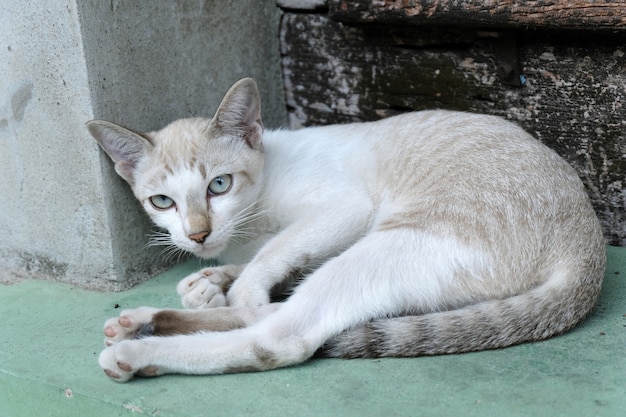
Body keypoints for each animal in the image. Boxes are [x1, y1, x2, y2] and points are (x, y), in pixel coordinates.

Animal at [85, 76, 604, 382]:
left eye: (219, 185)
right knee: (283, 313)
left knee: (278, 334)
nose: (196, 234)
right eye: (163, 202)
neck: (251, 221)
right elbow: (263, 267)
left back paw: (138, 350)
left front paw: (231, 281)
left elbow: (271, 259)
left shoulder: (344, 209)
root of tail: (589, 243)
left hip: (393, 242)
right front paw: (209, 281)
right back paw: (144, 320)